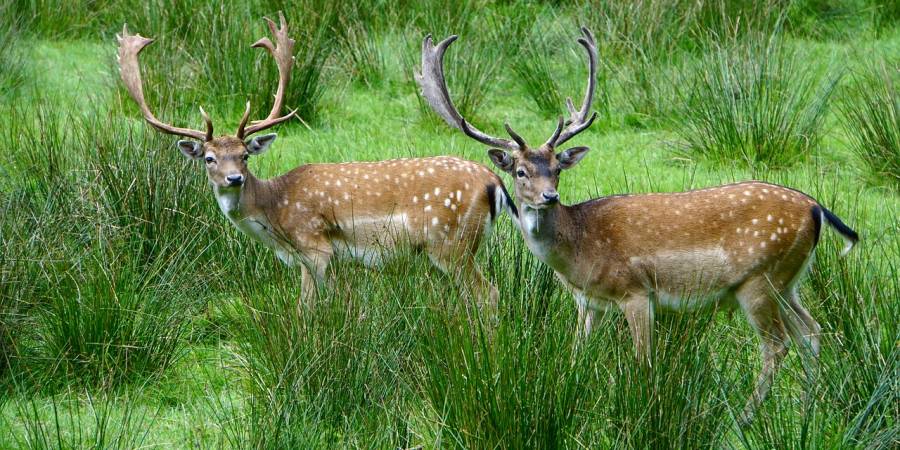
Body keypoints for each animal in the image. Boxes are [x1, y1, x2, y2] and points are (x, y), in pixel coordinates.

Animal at [118, 16, 512, 312]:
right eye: (210, 158)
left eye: (245, 155)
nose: (233, 179)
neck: (275, 217)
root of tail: (494, 183)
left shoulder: (314, 247)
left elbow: (306, 309)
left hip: (451, 243)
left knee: (489, 294)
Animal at [418, 26, 860, 416]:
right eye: (521, 171)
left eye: (557, 169)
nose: (550, 197)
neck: (580, 251)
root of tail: (816, 209)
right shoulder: (589, 303)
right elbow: (576, 357)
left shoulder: (636, 292)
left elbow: (644, 361)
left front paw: (644, 410)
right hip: (789, 281)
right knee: (813, 332)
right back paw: (807, 411)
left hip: (759, 279)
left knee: (778, 345)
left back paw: (745, 416)